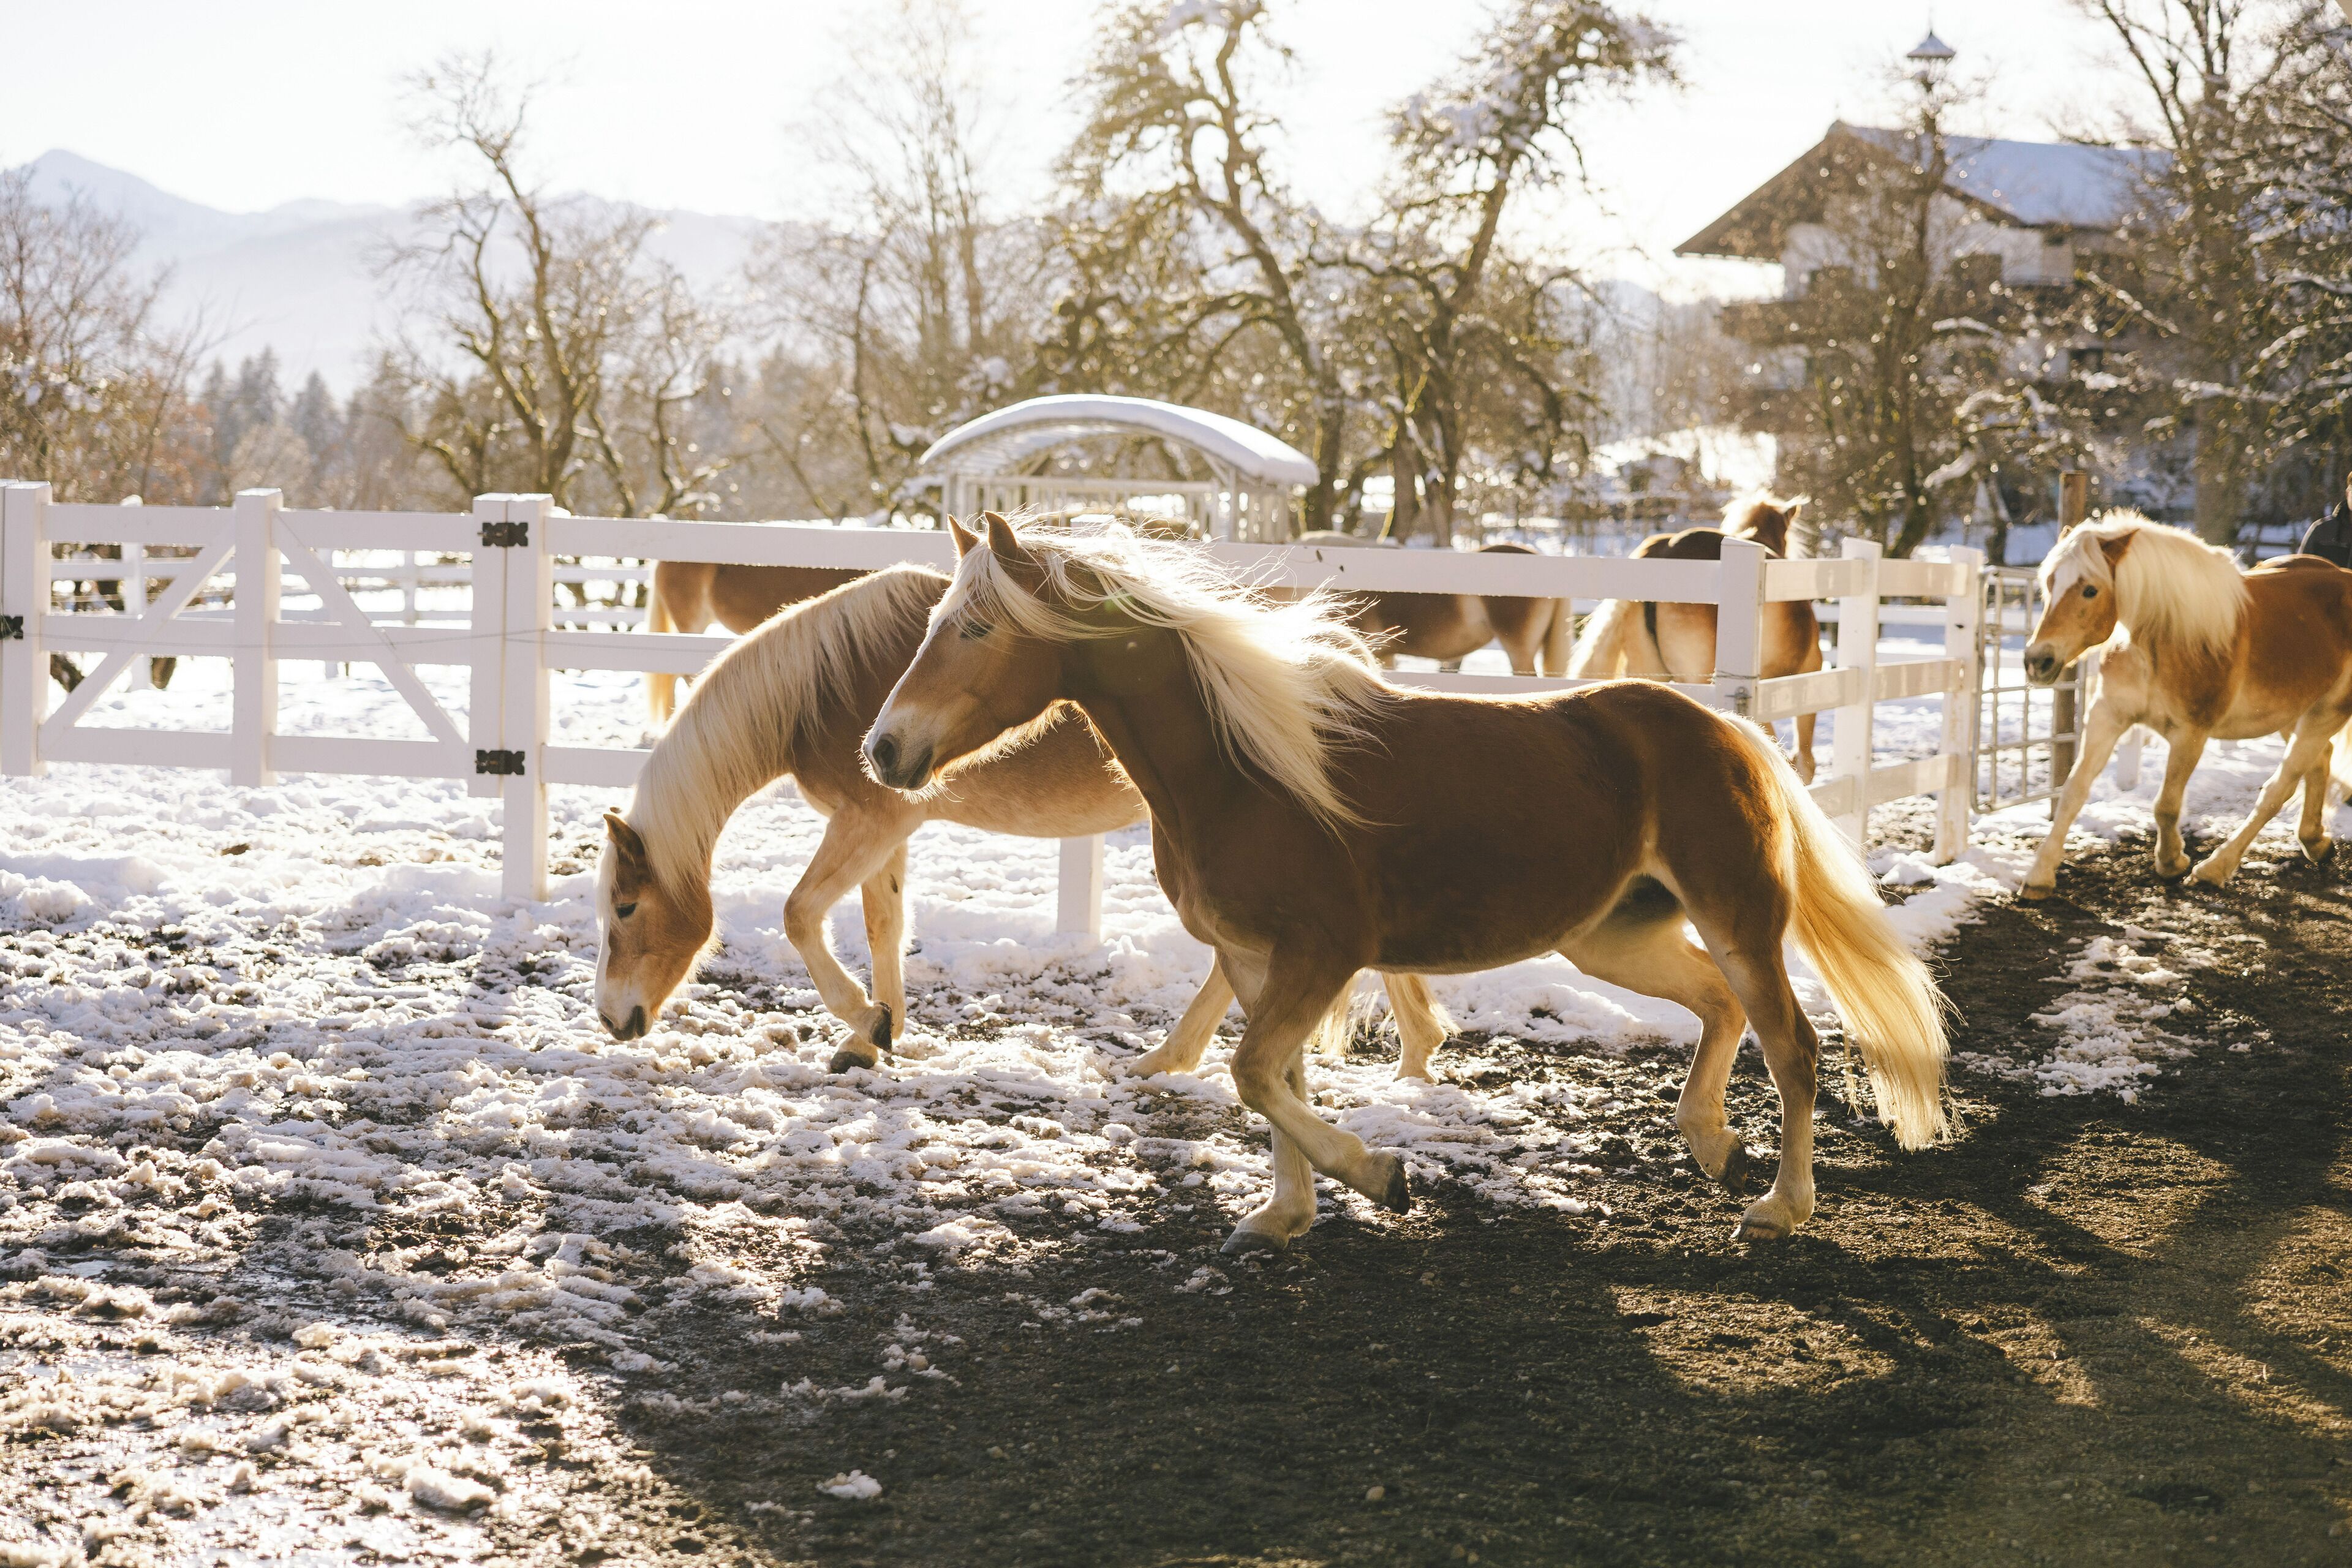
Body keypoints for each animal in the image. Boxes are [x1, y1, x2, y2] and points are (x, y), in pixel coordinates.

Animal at [594, 565, 1454, 1079]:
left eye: (626, 909)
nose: (611, 1019)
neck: (822, 683)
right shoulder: (886, 829)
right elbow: (882, 927)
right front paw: (875, 1035)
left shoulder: (867, 821)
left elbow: (802, 914)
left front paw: (864, 1020)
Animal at [2020, 512, 2352, 898]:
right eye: (2050, 583)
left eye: (2090, 589)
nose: (2037, 661)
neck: (2162, 637)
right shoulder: (2108, 716)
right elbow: (2073, 791)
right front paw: (2039, 875)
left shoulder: (2191, 734)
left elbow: (2166, 805)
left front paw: (2172, 862)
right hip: (2293, 715)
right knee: (2320, 761)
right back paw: (2316, 842)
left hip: (2325, 714)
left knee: (2278, 789)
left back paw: (2214, 868)